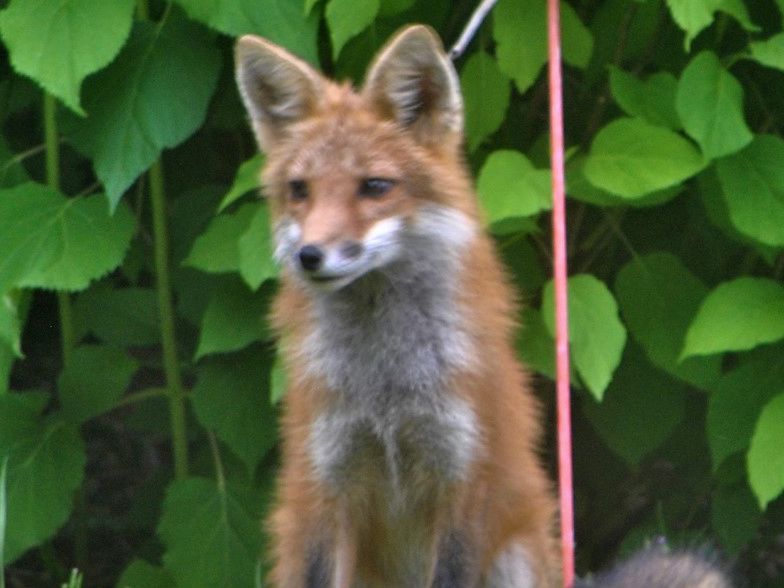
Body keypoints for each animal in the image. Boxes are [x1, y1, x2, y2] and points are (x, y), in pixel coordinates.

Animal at [234, 24, 733, 588]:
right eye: (300, 190)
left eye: (375, 187)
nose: (309, 255)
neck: (387, 391)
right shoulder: (327, 483)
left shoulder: (465, 480)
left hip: (515, 554)